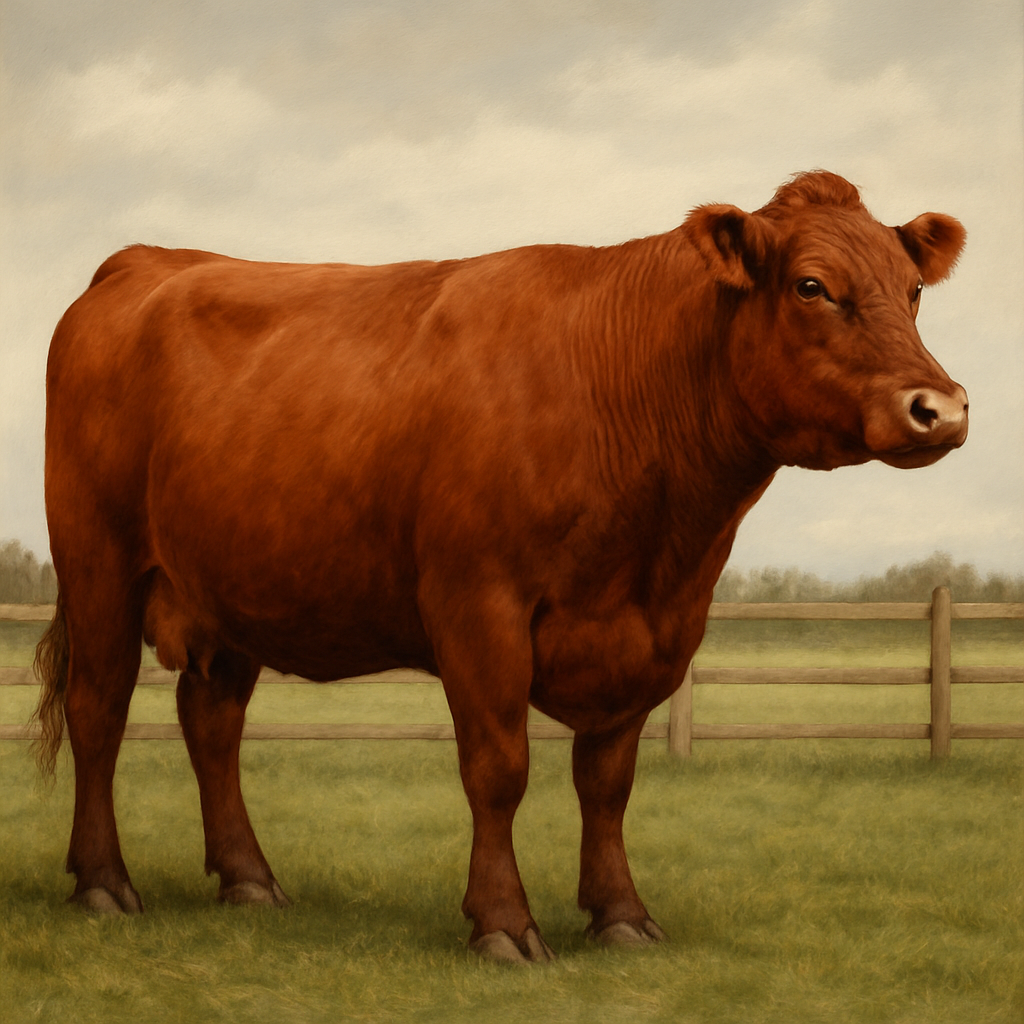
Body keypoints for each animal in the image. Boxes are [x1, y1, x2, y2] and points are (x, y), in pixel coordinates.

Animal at [33, 171, 967, 963]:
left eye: (914, 290)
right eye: (811, 286)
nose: (941, 407)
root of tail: (145, 260)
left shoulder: (656, 629)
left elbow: (607, 782)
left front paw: (621, 914)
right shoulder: (478, 605)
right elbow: (499, 768)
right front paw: (503, 924)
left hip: (230, 585)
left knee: (212, 722)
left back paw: (251, 881)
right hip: (98, 561)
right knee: (98, 711)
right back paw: (104, 884)